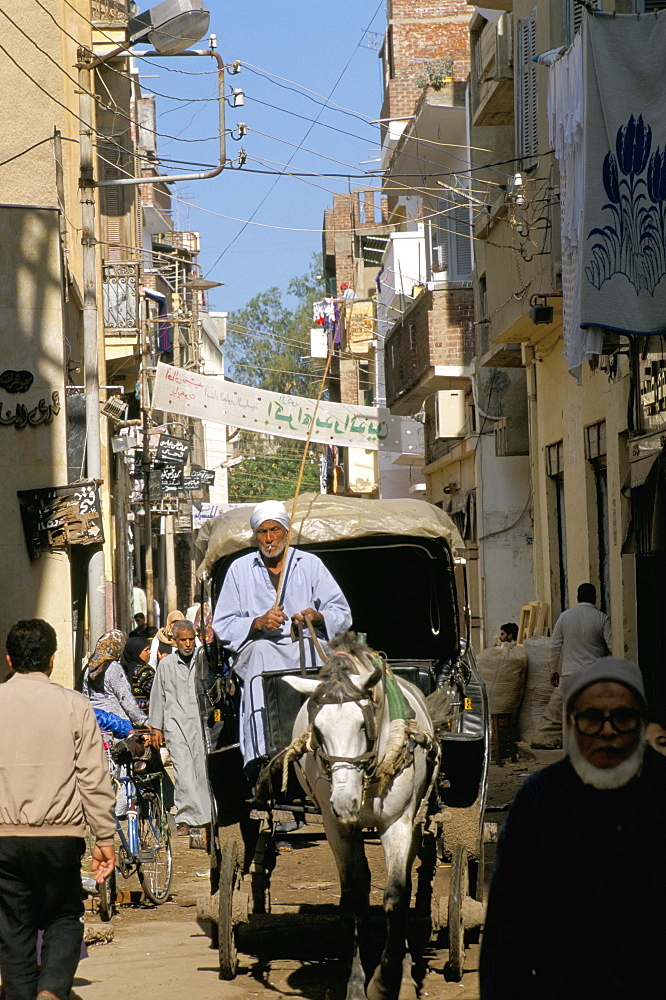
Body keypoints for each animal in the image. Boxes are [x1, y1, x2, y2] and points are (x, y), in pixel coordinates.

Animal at [274, 640, 436, 1000]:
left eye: (363, 725)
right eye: (318, 730)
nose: (345, 802)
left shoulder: (398, 822)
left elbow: (396, 894)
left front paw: (388, 979)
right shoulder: (337, 828)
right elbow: (353, 895)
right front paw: (357, 981)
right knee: (360, 887)